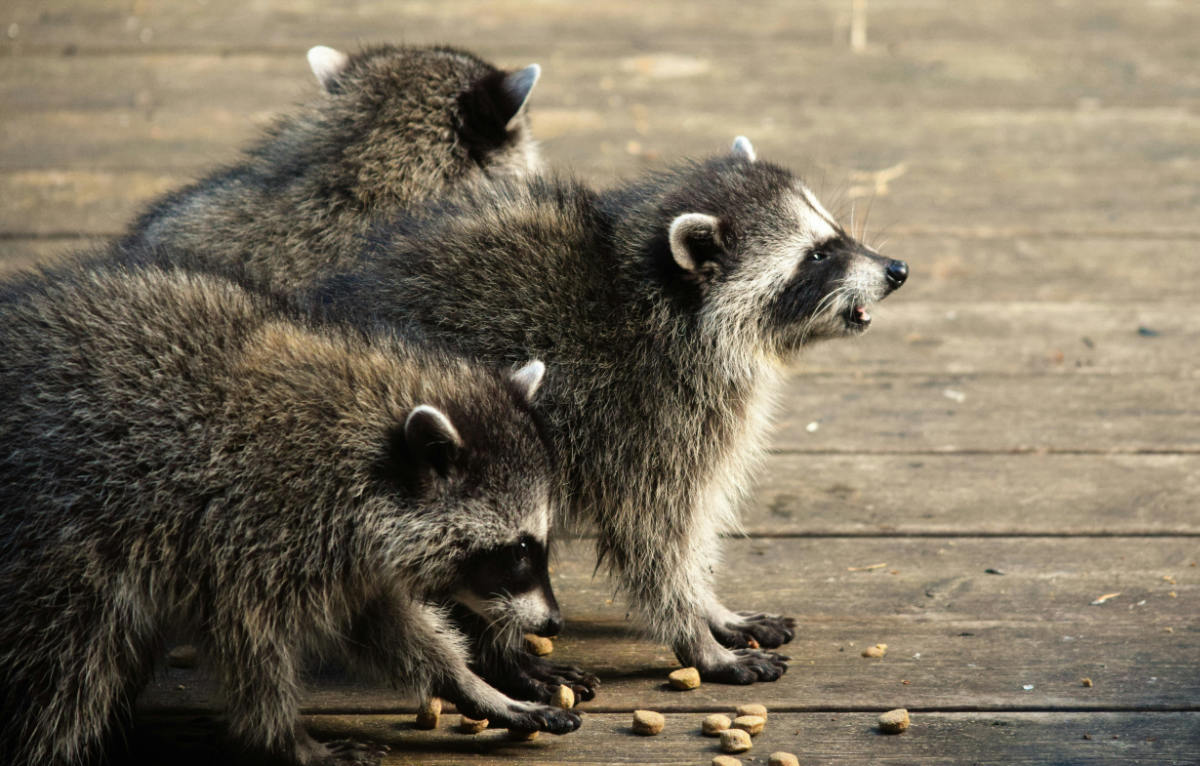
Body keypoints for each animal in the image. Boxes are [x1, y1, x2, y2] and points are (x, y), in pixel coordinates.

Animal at [0, 265, 581, 766]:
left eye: (537, 544)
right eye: (519, 549)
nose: (554, 622)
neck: (368, 453)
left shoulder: (343, 555)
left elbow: (383, 624)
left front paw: (471, 684)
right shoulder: (248, 531)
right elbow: (252, 646)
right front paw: (286, 739)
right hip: (56, 543)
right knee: (61, 669)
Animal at [316, 137, 909, 688]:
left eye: (834, 234)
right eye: (817, 256)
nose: (896, 269)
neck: (666, 301)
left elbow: (688, 530)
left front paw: (712, 607)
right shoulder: (646, 412)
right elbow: (654, 536)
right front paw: (697, 637)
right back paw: (504, 658)